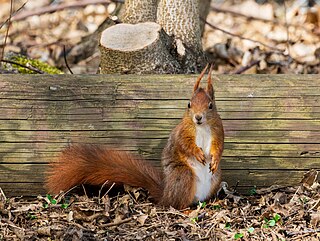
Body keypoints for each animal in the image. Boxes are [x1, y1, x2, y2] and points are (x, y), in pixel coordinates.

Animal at [45, 65, 225, 210]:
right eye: (189, 104)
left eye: (210, 105)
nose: (198, 117)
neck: (201, 127)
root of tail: (165, 194)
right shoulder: (183, 132)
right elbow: (185, 144)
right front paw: (198, 154)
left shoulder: (218, 131)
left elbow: (218, 147)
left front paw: (214, 159)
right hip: (184, 176)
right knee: (176, 205)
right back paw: (185, 209)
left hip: (215, 178)